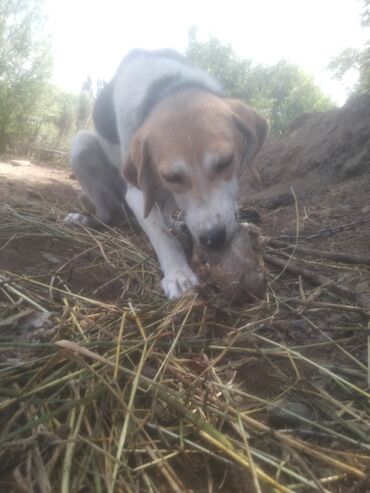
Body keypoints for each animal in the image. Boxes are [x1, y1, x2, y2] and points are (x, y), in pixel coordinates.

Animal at [66, 48, 268, 298]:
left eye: (225, 162)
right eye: (173, 177)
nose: (213, 238)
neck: (169, 86)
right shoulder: (139, 193)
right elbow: (162, 235)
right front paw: (178, 274)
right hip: (82, 146)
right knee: (105, 214)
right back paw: (85, 219)